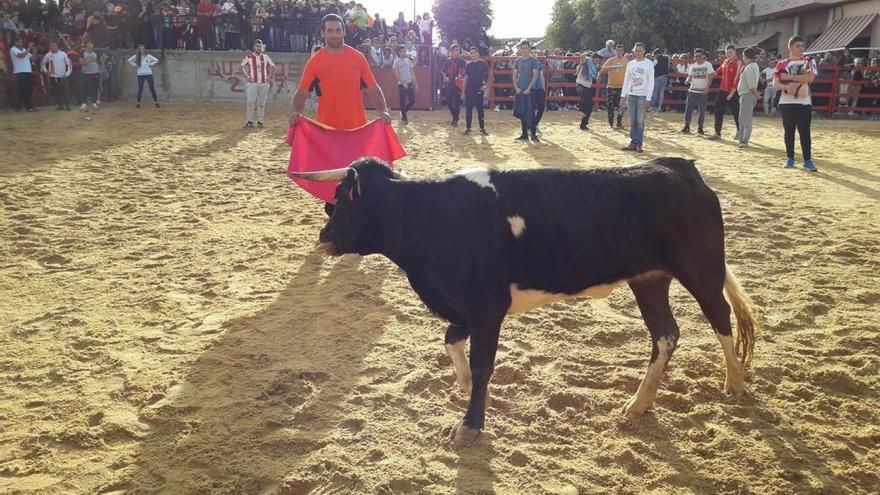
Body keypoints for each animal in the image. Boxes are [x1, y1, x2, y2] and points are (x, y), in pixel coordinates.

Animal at [294, 157, 756, 444]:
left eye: (342, 198)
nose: (323, 237)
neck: (432, 217)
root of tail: (678, 167)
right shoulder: (471, 308)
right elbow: (452, 339)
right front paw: (466, 388)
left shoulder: (486, 307)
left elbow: (483, 364)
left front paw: (470, 425)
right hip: (649, 280)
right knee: (665, 335)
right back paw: (639, 404)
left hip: (701, 271)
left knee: (720, 318)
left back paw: (735, 383)